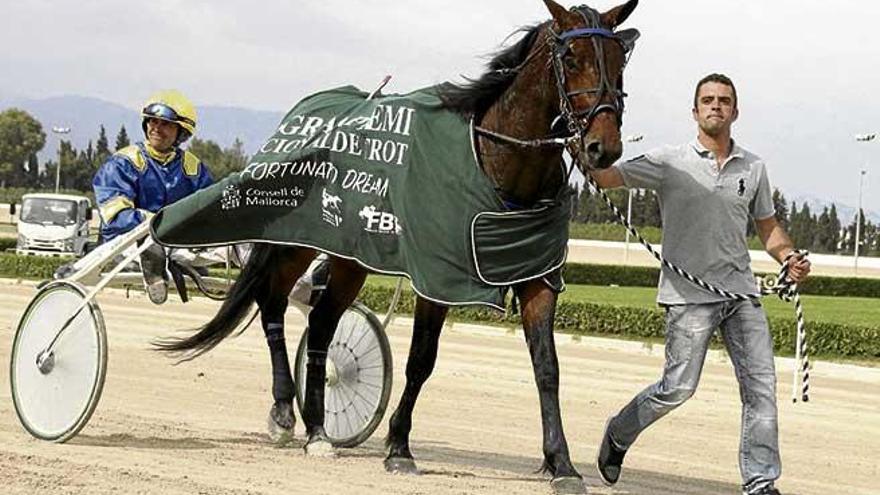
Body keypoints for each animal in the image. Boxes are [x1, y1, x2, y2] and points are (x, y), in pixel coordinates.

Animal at [156, 1, 640, 494]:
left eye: (620, 60)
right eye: (572, 58)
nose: (603, 147)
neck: (500, 163)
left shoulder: (536, 275)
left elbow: (548, 368)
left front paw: (562, 464)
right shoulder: (438, 275)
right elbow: (421, 360)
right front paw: (399, 447)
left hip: (349, 257)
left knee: (322, 325)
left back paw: (318, 429)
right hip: (296, 240)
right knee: (272, 302)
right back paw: (285, 409)